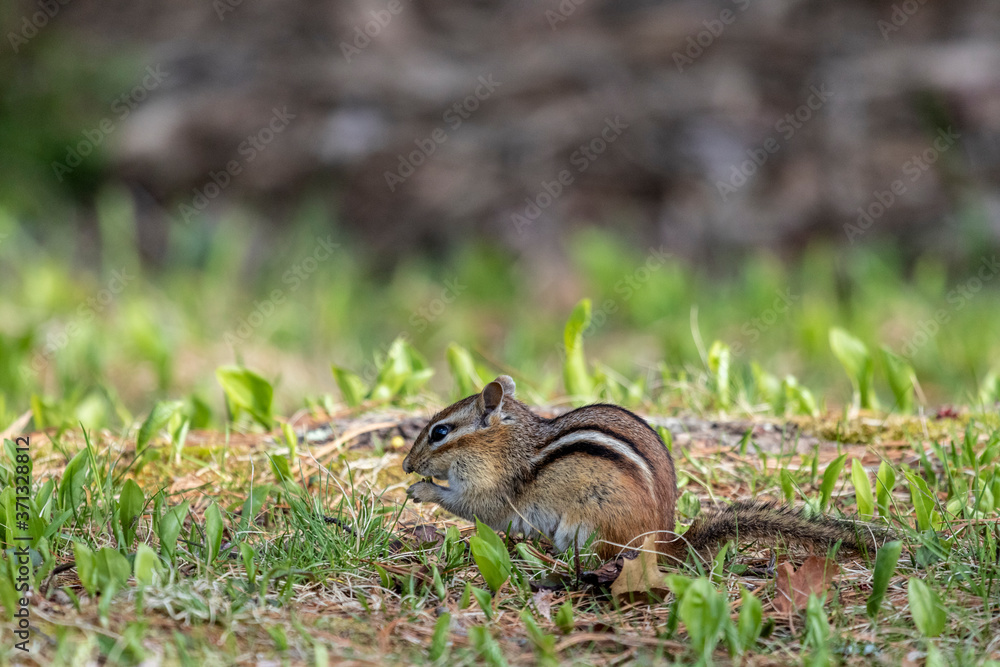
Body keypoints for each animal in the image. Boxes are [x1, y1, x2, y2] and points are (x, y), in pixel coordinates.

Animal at [403, 375, 893, 562]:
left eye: (440, 432)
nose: (406, 464)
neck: (504, 443)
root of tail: (665, 543)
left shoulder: (491, 488)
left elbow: (468, 504)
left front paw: (421, 490)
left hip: (589, 528)